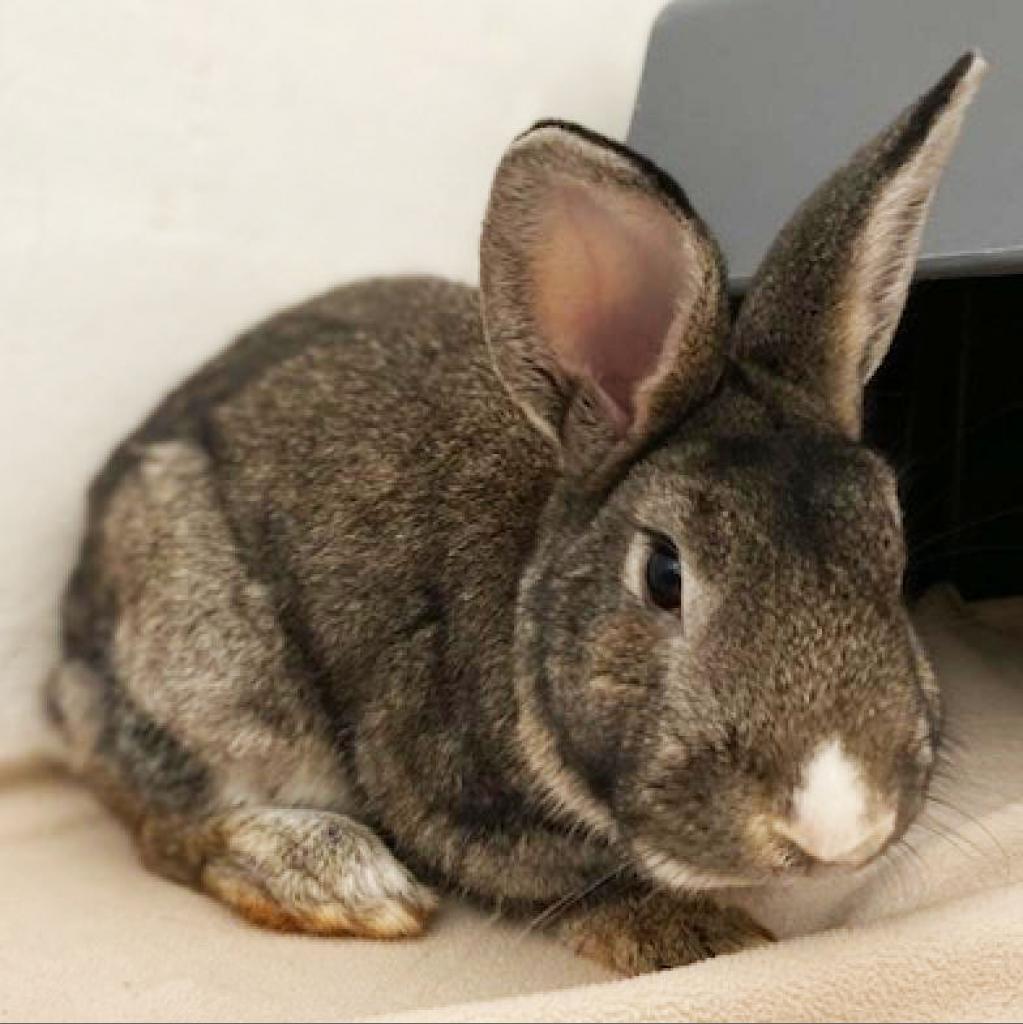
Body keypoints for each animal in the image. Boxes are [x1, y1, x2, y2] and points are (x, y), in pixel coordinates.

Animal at [44, 49, 987, 974]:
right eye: (664, 574)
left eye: (891, 553)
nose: (840, 826)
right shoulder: (444, 792)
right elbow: (568, 888)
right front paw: (698, 935)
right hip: (212, 666)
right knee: (162, 815)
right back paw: (337, 880)